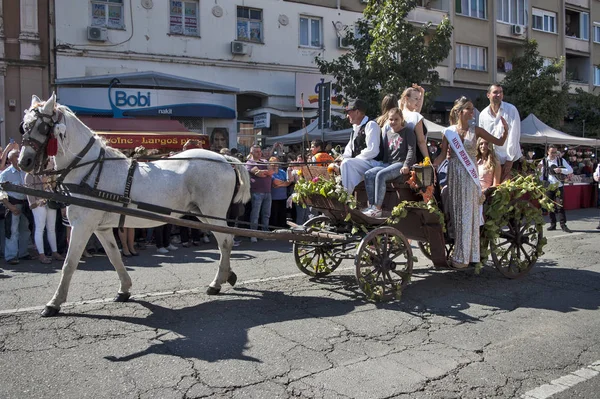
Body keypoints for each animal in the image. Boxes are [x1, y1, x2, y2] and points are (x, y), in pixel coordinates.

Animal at [17, 92, 251, 318]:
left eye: (41, 127)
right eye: (24, 126)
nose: (23, 162)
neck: (89, 169)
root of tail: (224, 159)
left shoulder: (83, 225)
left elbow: (69, 264)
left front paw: (54, 303)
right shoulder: (101, 228)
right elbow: (114, 256)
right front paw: (124, 289)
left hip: (212, 212)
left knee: (225, 242)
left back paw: (217, 282)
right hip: (202, 213)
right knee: (225, 241)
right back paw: (226, 275)